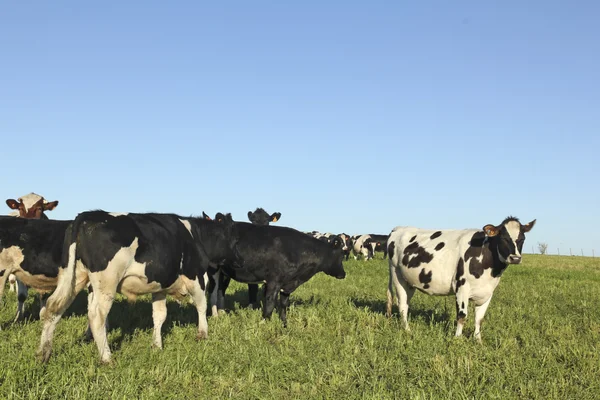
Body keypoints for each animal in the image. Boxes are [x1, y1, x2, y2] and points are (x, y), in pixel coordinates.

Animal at [4, 192, 59, 320]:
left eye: (39, 208)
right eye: (20, 208)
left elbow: (43, 295)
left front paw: (43, 315)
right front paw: (19, 317)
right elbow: (21, 295)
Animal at [37, 211, 243, 364]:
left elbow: (159, 315)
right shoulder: (197, 277)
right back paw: (106, 358)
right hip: (106, 283)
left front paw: (156, 345)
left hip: (73, 276)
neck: (196, 236)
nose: (239, 261)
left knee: (53, 307)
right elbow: (201, 306)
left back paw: (43, 353)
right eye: (234, 240)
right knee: (97, 316)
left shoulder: (159, 287)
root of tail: (87, 216)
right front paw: (203, 334)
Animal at [207, 217, 344, 326]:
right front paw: (263, 324)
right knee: (213, 291)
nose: (343, 274)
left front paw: (284, 324)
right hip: (212, 270)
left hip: (224, 273)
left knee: (221, 290)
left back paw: (222, 313)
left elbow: (283, 305)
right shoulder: (274, 281)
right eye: (340, 256)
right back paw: (215, 316)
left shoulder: (287, 283)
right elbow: (270, 304)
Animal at [386, 217, 536, 342]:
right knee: (402, 305)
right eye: (503, 238)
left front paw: (478, 340)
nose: (515, 258)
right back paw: (407, 330)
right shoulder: (461, 287)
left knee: (406, 304)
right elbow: (462, 315)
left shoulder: (488, 293)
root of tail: (398, 228)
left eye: (522, 239)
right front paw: (457, 339)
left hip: (410, 282)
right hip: (397, 276)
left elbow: (479, 319)